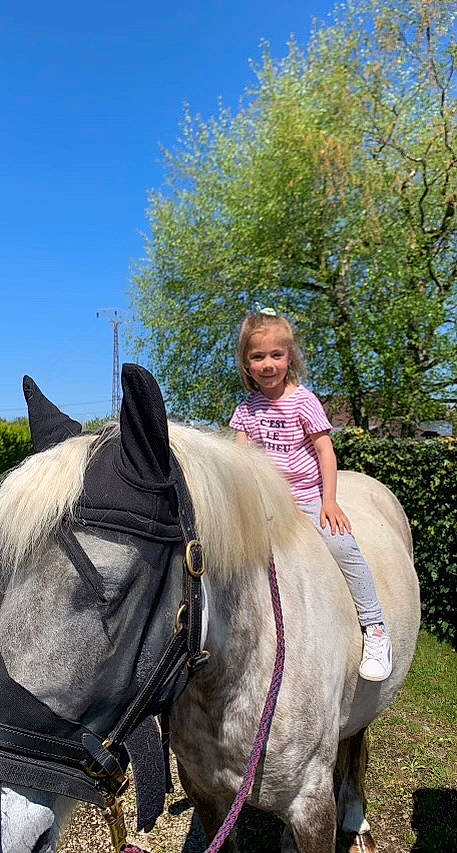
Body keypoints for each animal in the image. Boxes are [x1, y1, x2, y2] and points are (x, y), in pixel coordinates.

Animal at [0, 364, 420, 853]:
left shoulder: (313, 808)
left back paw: (356, 817)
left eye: (116, 590)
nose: (10, 830)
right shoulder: (205, 793)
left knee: (356, 743)